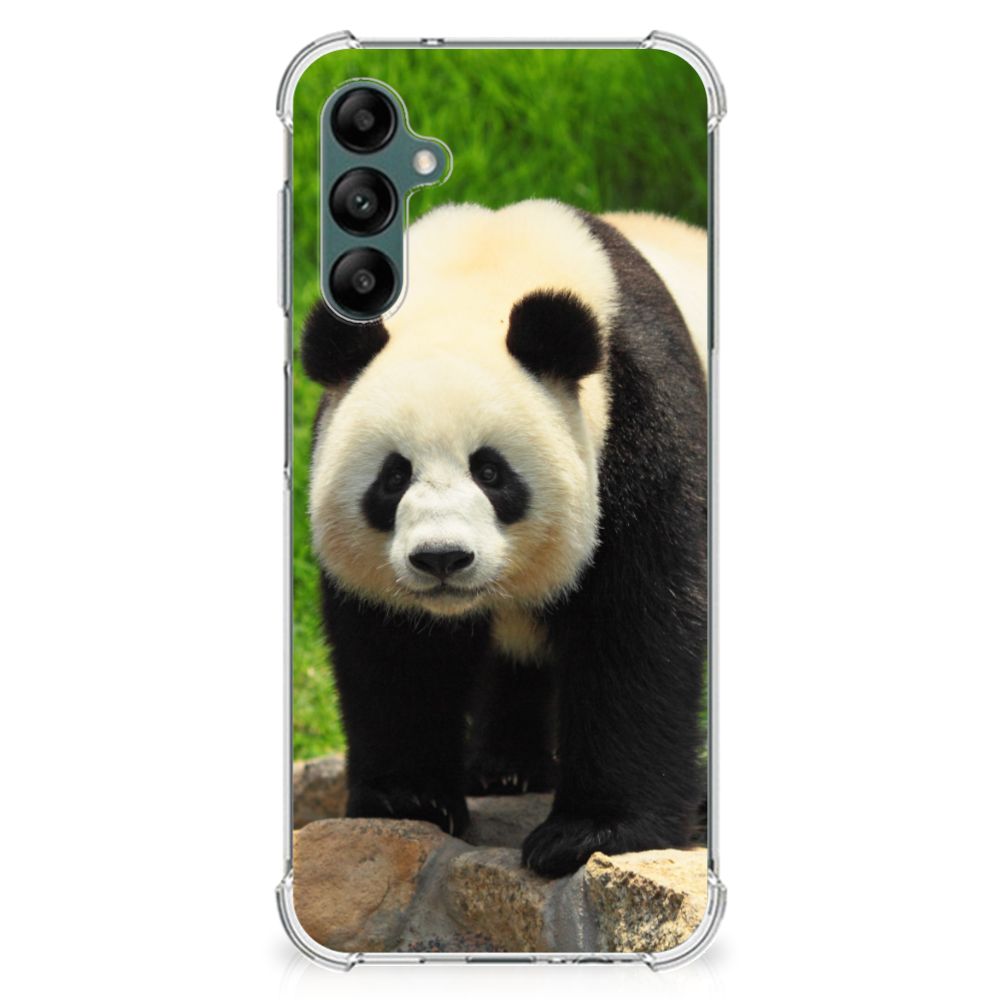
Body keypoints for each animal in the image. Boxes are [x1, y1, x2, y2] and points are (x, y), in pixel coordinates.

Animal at [302, 200, 708, 877]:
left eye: (490, 472)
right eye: (393, 476)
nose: (442, 558)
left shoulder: (642, 419)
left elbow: (639, 623)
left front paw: (589, 833)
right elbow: (395, 649)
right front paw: (408, 800)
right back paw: (504, 769)